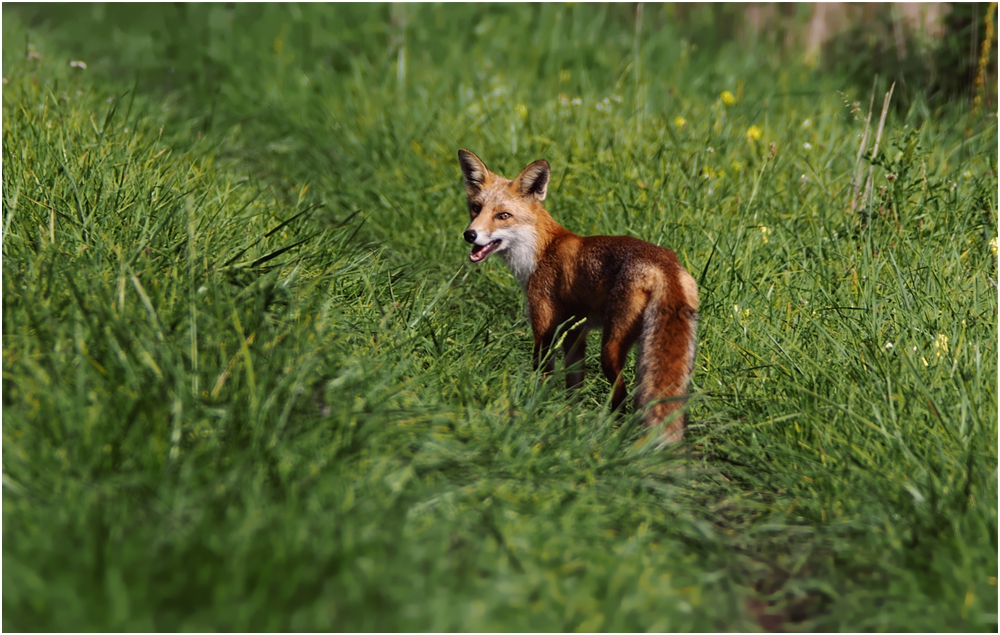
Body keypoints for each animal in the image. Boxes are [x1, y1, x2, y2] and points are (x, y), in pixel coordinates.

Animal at [458, 148, 700, 442]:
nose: (470, 235)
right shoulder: (574, 332)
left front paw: (536, 410)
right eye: (476, 208)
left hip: (610, 348)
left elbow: (542, 376)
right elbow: (573, 387)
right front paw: (569, 418)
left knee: (621, 395)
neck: (541, 251)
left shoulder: (544, 328)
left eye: (503, 215)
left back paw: (614, 433)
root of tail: (664, 263)